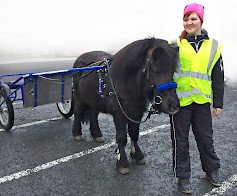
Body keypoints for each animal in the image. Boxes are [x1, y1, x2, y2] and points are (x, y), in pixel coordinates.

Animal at [73, 38, 179, 175]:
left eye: (172, 71)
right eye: (155, 71)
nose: (173, 105)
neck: (126, 82)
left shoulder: (136, 112)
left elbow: (134, 134)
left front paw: (137, 155)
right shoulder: (119, 114)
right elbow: (122, 137)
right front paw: (122, 163)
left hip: (94, 101)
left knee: (93, 115)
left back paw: (97, 135)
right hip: (79, 98)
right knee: (77, 113)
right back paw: (77, 133)